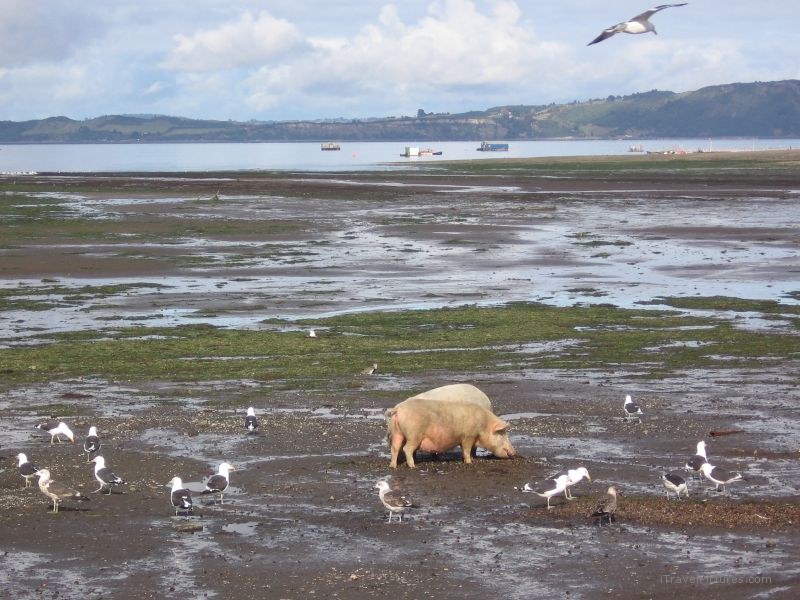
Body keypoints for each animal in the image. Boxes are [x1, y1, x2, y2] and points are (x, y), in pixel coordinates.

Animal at [385, 397, 516, 468]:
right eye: (502, 434)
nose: (515, 452)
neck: (483, 425)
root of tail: (398, 409)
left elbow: (466, 450)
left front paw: (470, 460)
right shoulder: (468, 436)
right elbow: (467, 449)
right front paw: (469, 462)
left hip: (397, 433)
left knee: (395, 448)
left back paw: (393, 466)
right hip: (414, 435)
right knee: (406, 449)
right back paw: (412, 466)